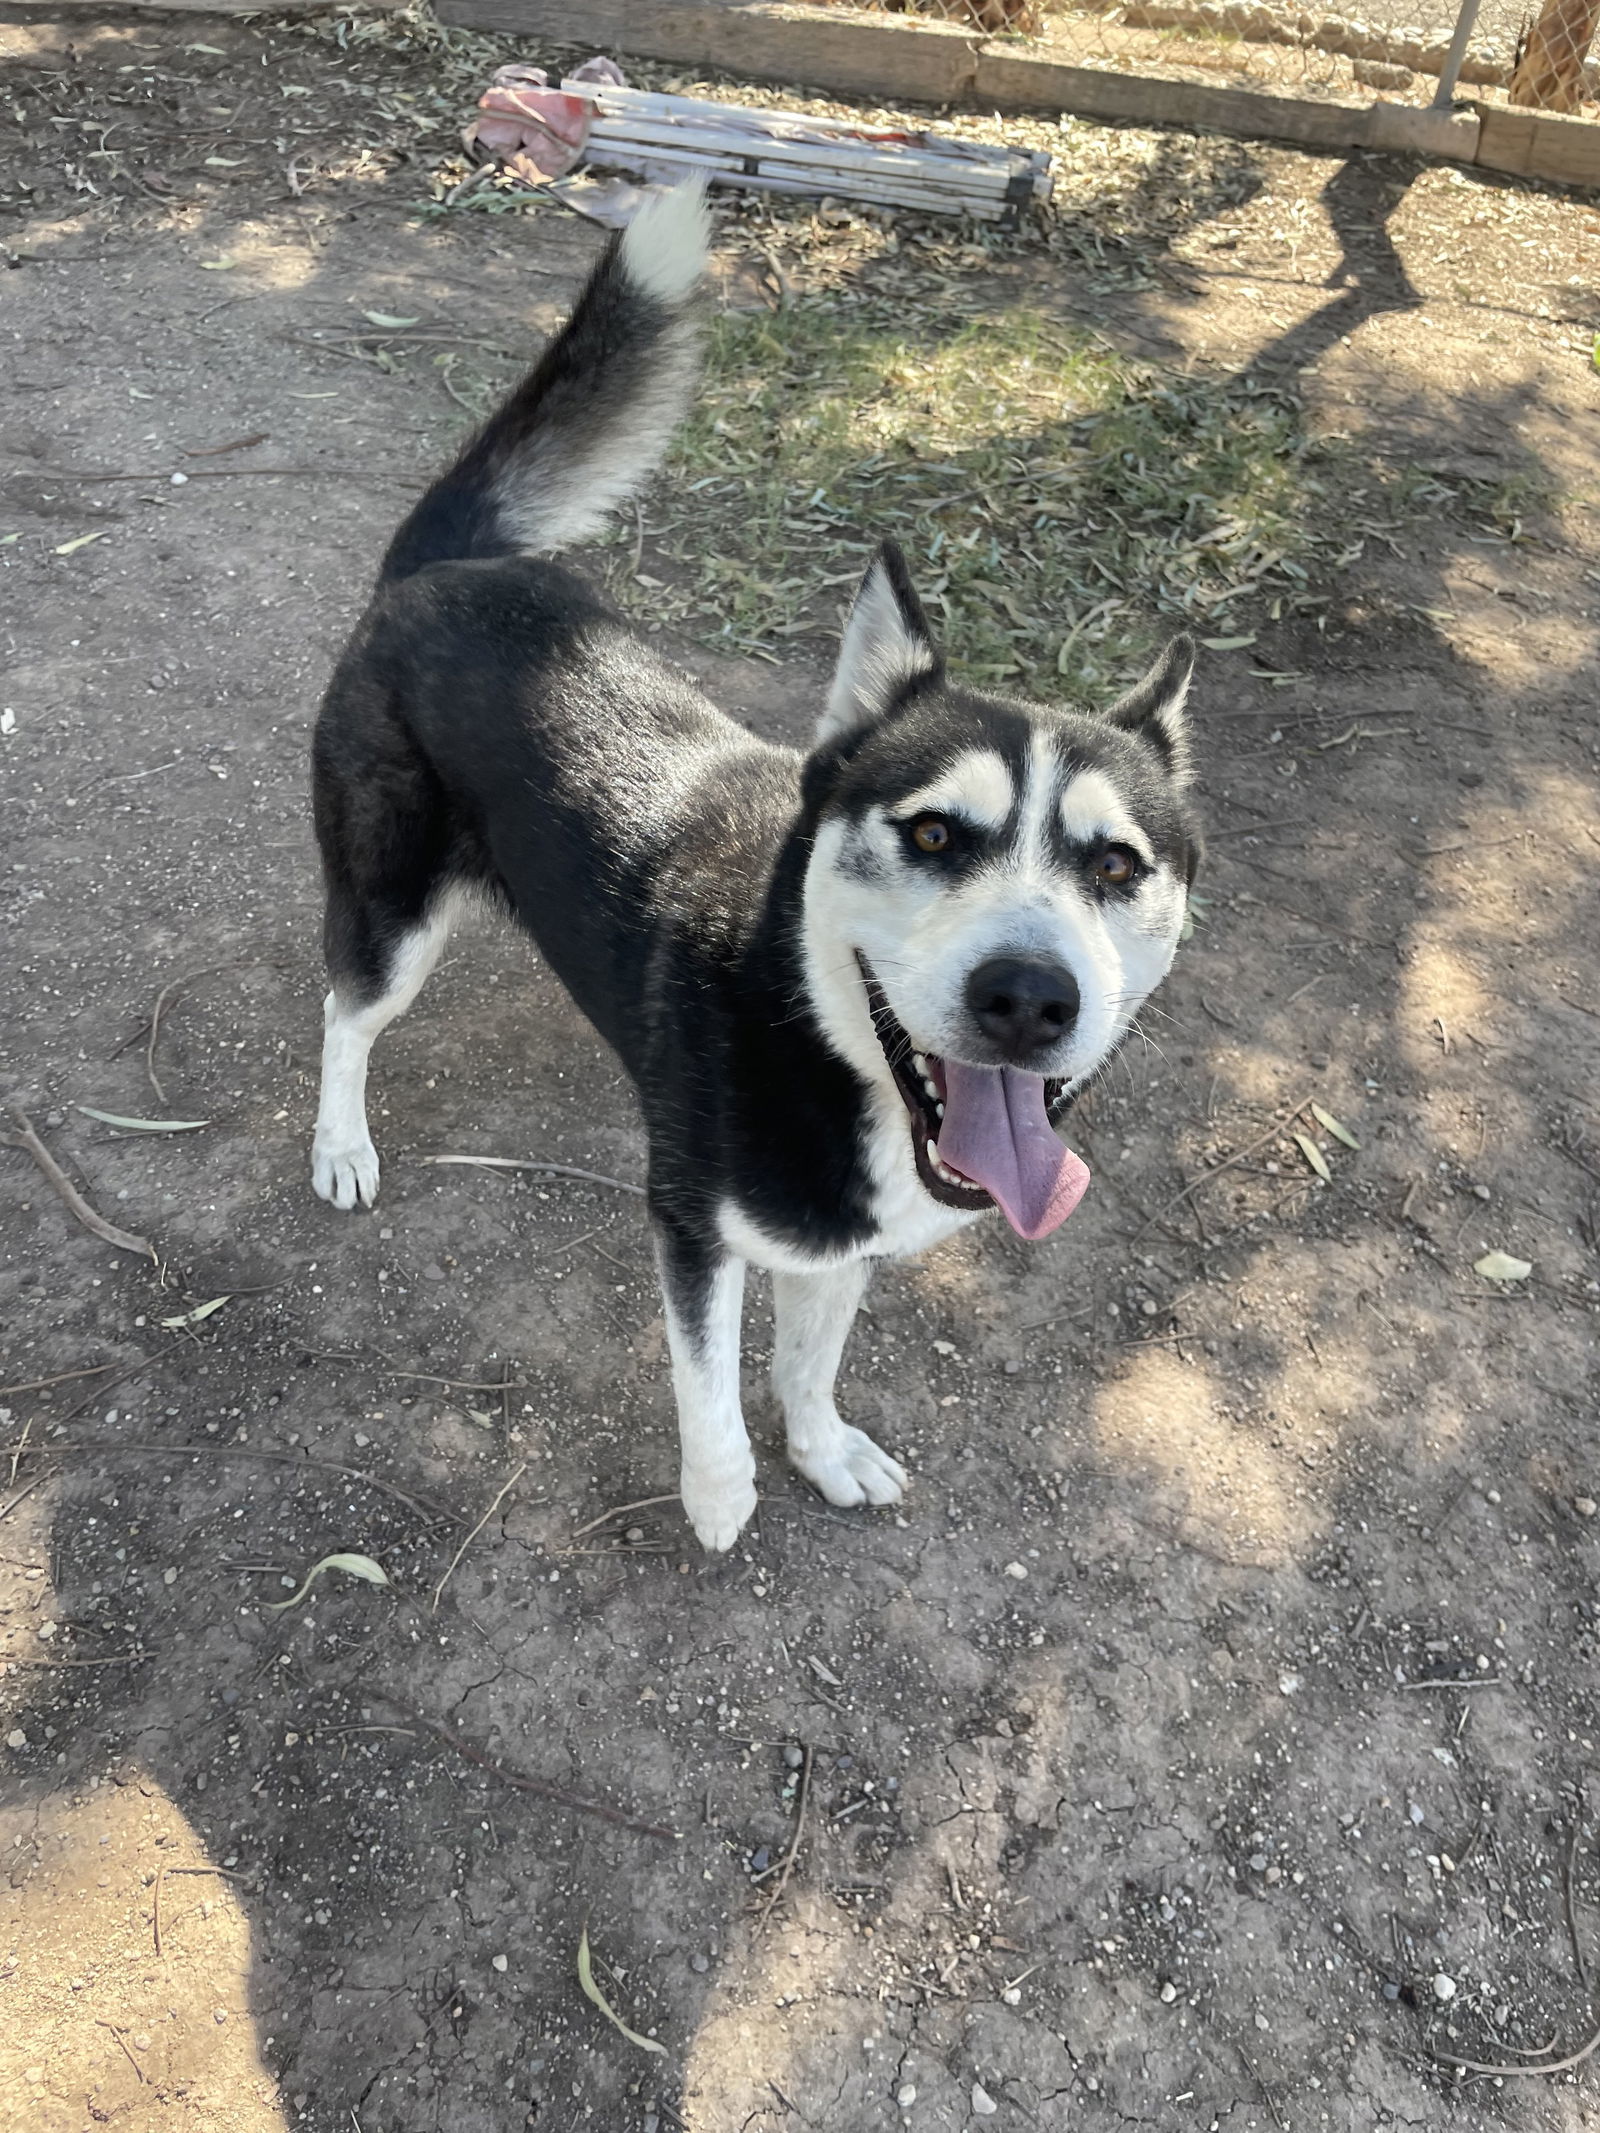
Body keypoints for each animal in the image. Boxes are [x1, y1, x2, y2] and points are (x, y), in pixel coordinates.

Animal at [309, 183, 1203, 1552]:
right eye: (932, 833)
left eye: (1115, 864)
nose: (1029, 999)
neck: (812, 1028)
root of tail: (441, 570)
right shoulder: (691, 1225)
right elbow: (710, 1379)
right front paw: (720, 1494)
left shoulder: (842, 1239)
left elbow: (808, 1361)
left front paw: (823, 1450)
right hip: (391, 906)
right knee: (347, 1013)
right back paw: (340, 1143)